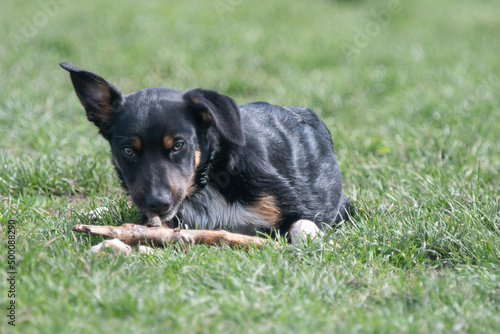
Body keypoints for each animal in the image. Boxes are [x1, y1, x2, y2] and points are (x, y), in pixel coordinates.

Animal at [60, 62, 354, 244]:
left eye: (178, 146)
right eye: (128, 150)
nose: (157, 203)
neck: (208, 178)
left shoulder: (319, 208)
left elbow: (303, 223)